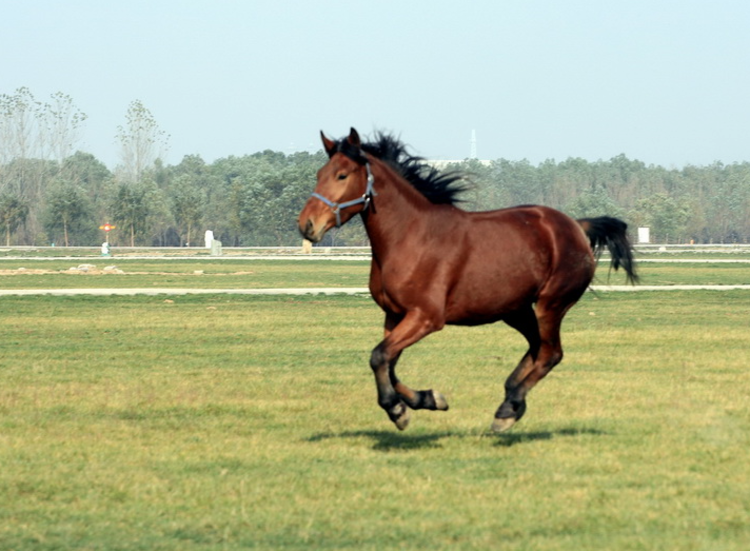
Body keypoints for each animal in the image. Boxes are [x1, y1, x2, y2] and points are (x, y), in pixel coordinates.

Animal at [296, 128, 636, 432]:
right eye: (319, 174)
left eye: (342, 175)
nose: (307, 225)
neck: (410, 236)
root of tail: (576, 226)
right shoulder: (394, 315)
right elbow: (387, 363)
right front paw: (429, 399)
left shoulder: (426, 317)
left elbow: (379, 356)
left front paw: (398, 411)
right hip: (516, 310)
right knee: (537, 348)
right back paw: (510, 396)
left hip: (550, 304)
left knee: (550, 353)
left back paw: (508, 409)